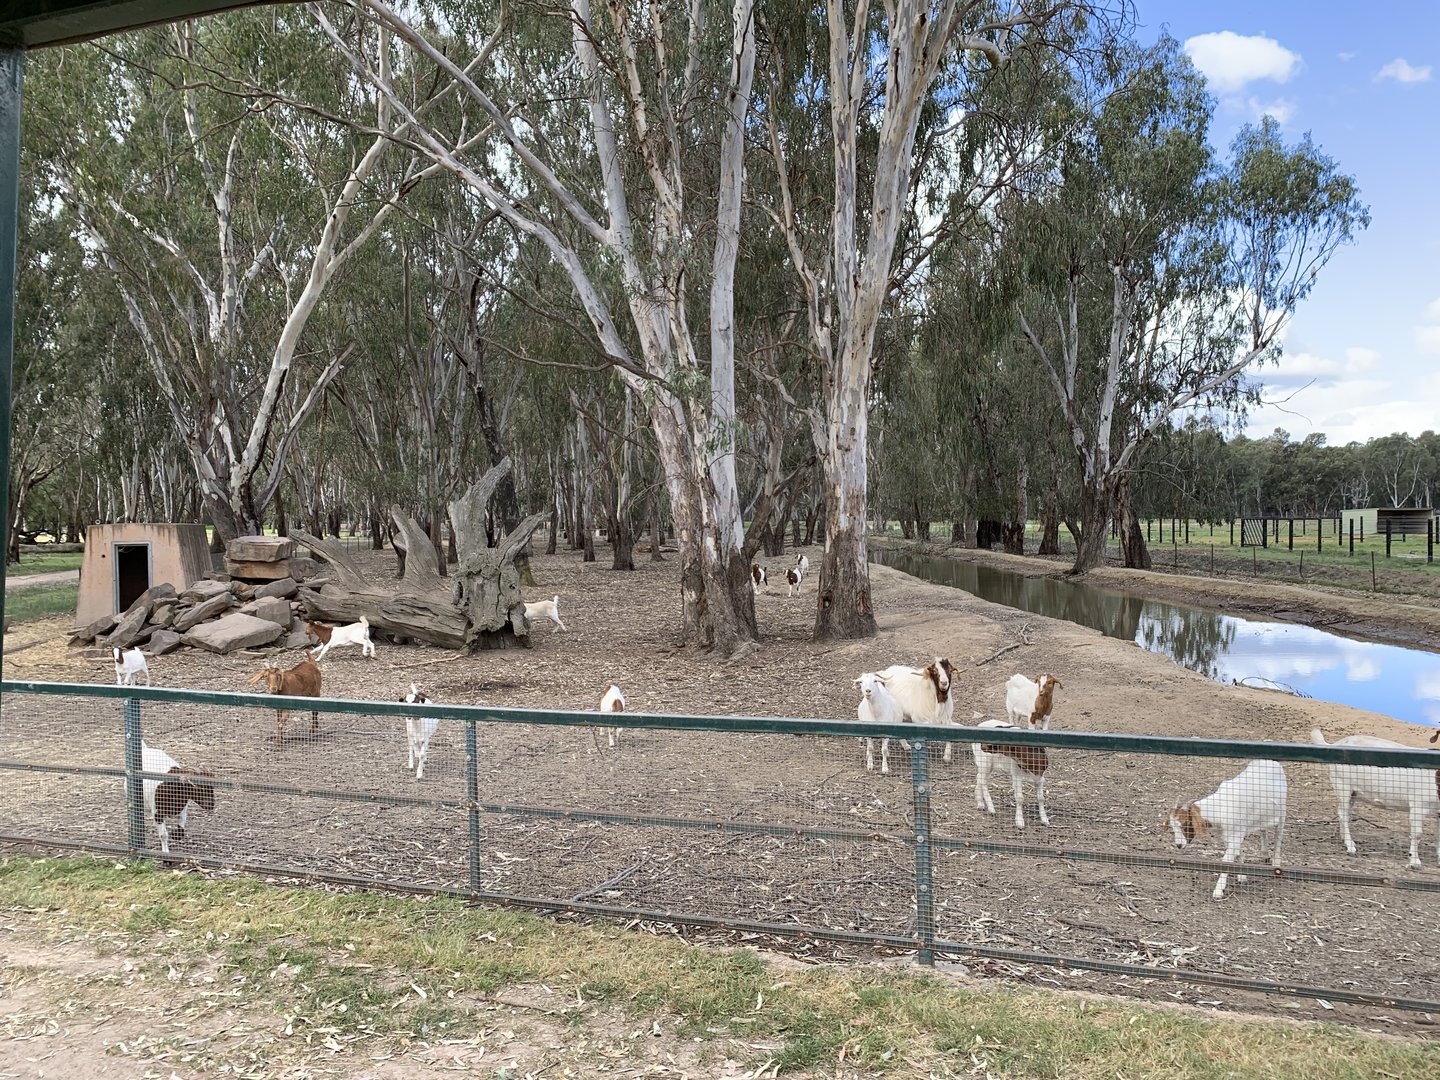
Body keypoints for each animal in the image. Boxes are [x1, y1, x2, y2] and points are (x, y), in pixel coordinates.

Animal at [1164, 759, 1287, 900]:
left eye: (1186, 824)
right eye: (1172, 827)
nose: (1179, 845)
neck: (1221, 807)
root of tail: (1270, 761)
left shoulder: (1236, 835)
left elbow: (1226, 860)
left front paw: (1218, 891)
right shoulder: (1229, 836)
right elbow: (1238, 853)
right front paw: (1242, 876)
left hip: (1282, 811)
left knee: (1279, 835)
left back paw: (1276, 864)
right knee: (1263, 829)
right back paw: (1265, 854)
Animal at [1311, 728, 1439, 870]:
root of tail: (1335, 745)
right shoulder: (1418, 805)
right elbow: (1417, 834)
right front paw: (1415, 862)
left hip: (1353, 793)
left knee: (1345, 813)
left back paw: (1346, 840)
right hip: (1342, 785)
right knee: (1343, 814)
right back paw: (1350, 847)